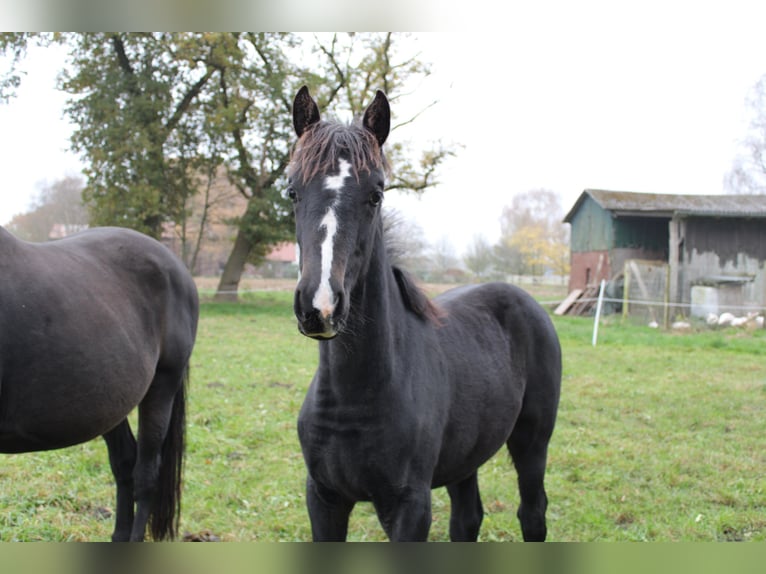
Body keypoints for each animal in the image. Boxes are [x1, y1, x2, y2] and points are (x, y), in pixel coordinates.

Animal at [290, 85, 564, 544]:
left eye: (377, 193)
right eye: (292, 190)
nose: (320, 306)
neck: (354, 396)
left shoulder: (410, 507)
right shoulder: (324, 499)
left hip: (532, 444)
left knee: (532, 514)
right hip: (466, 457)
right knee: (467, 519)